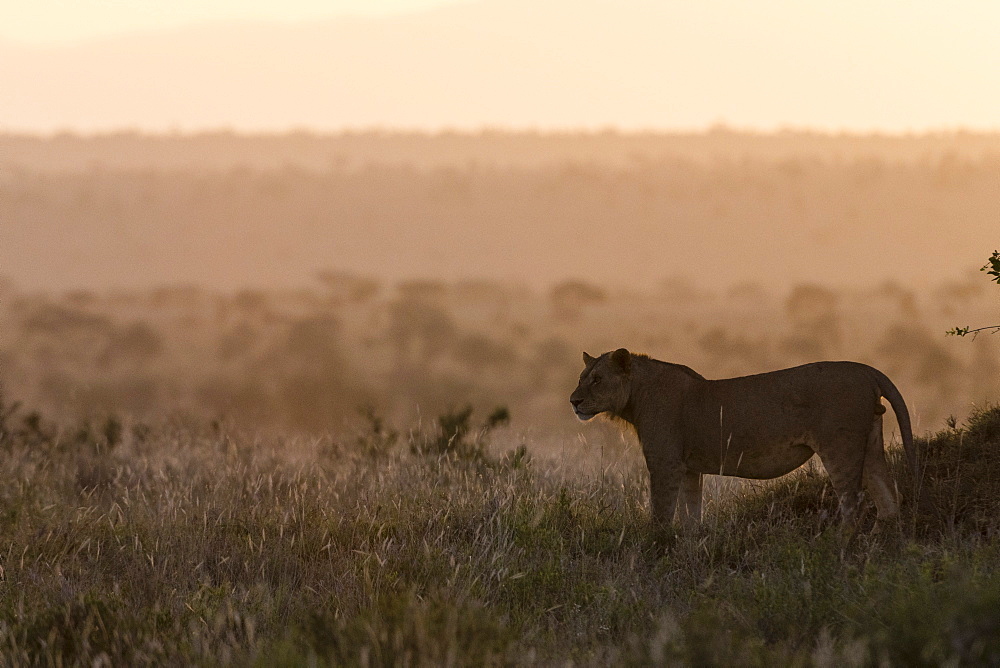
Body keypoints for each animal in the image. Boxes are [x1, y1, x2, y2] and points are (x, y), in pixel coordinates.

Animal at [572, 350, 916, 528]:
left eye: (597, 379)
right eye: (581, 378)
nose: (573, 401)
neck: (638, 395)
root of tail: (866, 369)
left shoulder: (665, 464)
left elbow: (661, 516)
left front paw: (657, 553)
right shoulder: (688, 469)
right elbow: (690, 516)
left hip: (840, 448)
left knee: (853, 505)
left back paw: (840, 549)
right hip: (871, 444)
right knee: (888, 499)